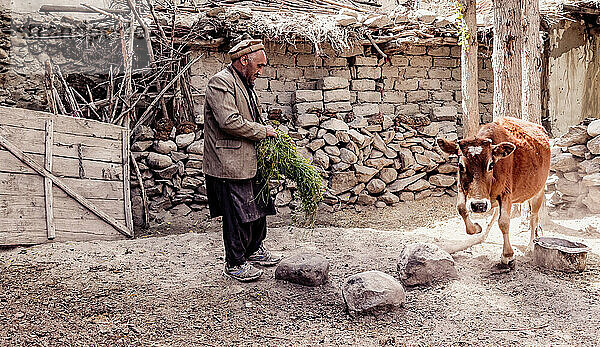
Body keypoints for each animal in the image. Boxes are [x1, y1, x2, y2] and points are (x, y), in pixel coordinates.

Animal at [436, 117, 548, 266]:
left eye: (491, 165)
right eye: (460, 165)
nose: (478, 205)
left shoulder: (506, 193)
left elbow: (504, 222)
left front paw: (507, 255)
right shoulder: (461, 187)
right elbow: (461, 208)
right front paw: (476, 228)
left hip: (538, 191)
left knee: (533, 218)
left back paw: (530, 246)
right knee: (495, 215)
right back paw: (481, 237)